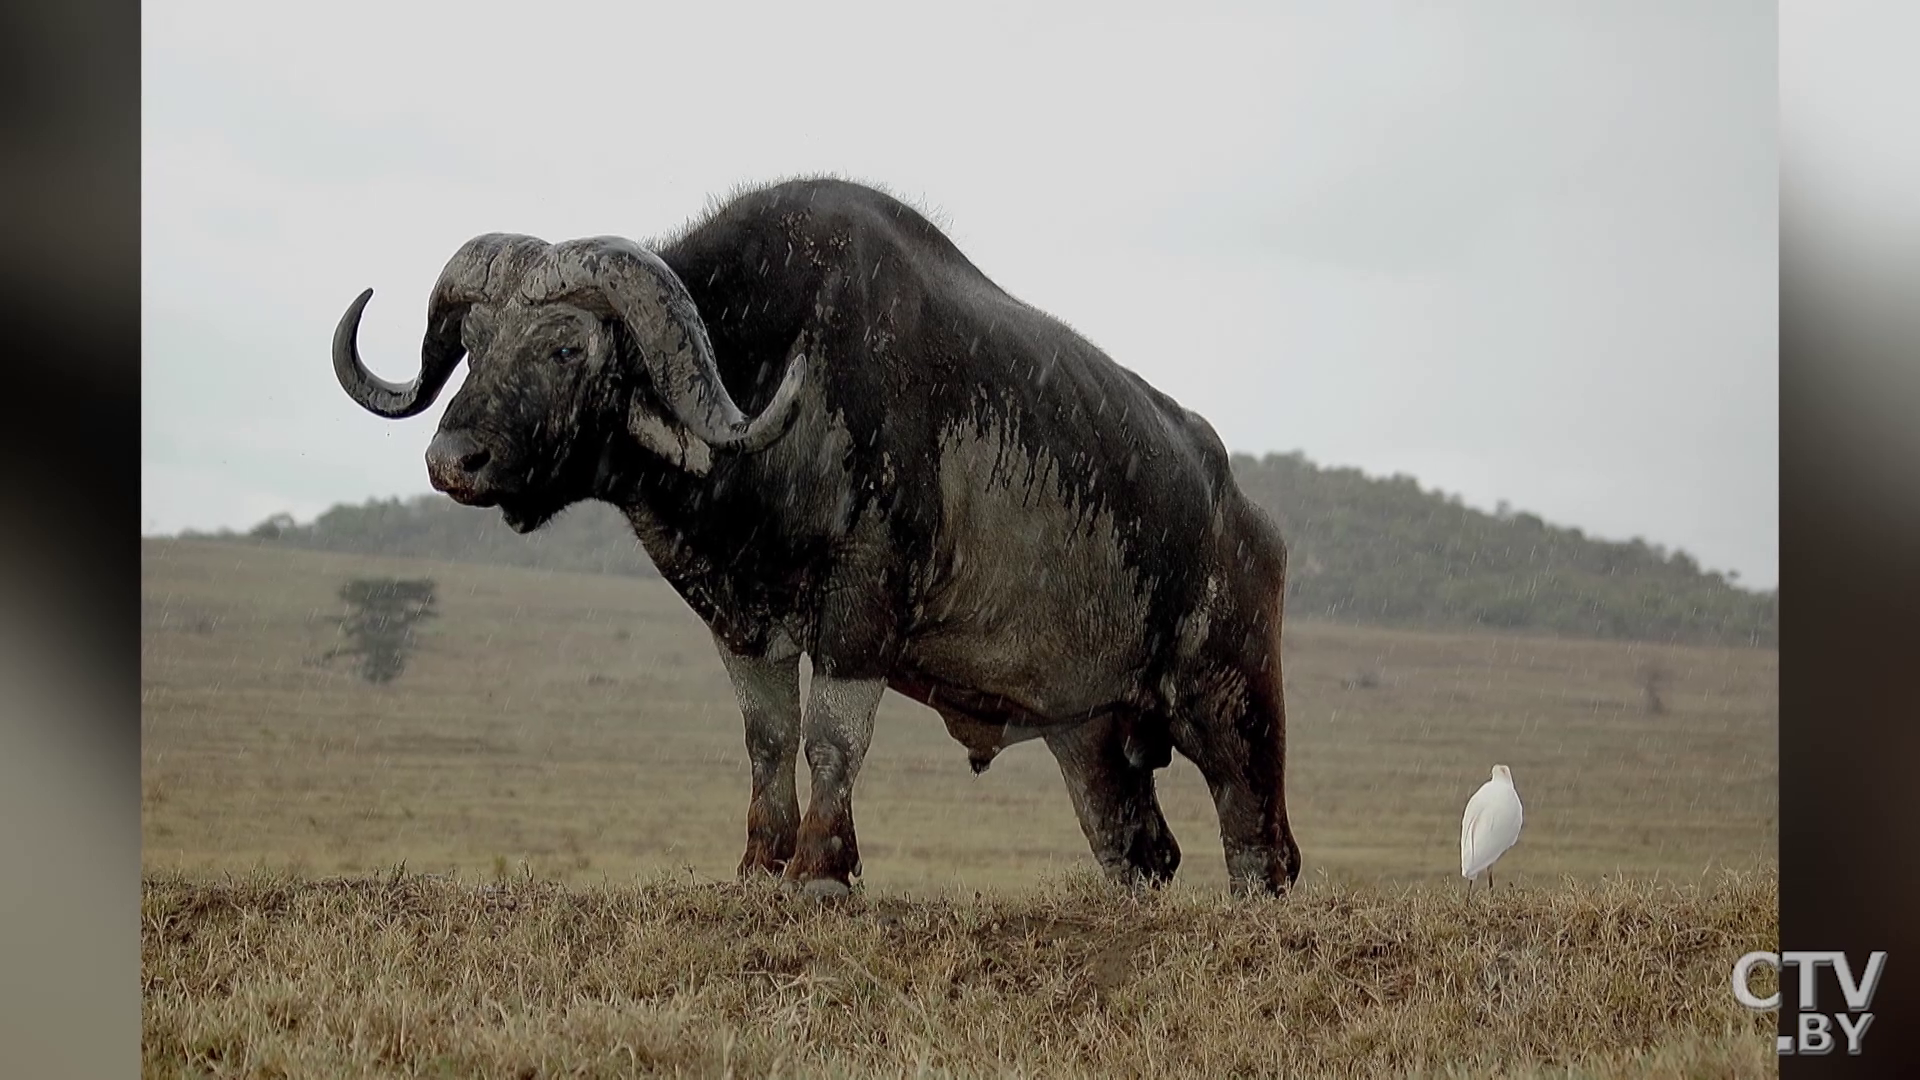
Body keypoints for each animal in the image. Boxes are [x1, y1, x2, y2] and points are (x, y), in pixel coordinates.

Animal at [337, 180, 1305, 895]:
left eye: (565, 348)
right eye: (472, 339)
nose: (453, 459)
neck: (773, 376)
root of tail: (1250, 520)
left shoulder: (861, 612)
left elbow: (833, 738)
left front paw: (822, 871)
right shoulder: (743, 628)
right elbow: (769, 740)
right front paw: (760, 866)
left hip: (1233, 701)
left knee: (1260, 843)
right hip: (1093, 738)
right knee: (1140, 853)